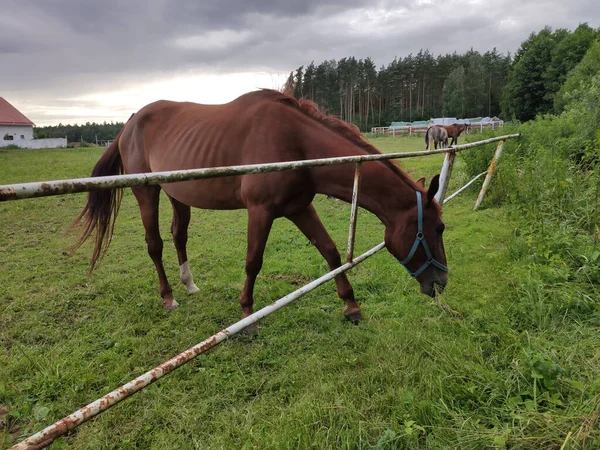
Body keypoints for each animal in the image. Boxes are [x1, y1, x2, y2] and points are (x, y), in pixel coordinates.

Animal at [72, 87, 448, 324]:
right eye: (437, 229)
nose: (441, 282)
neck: (296, 143)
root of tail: (131, 121)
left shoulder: (299, 208)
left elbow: (330, 252)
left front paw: (351, 307)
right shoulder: (261, 211)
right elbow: (253, 261)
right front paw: (247, 315)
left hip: (178, 195)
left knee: (179, 236)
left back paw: (189, 285)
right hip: (146, 191)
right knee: (154, 244)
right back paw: (169, 298)